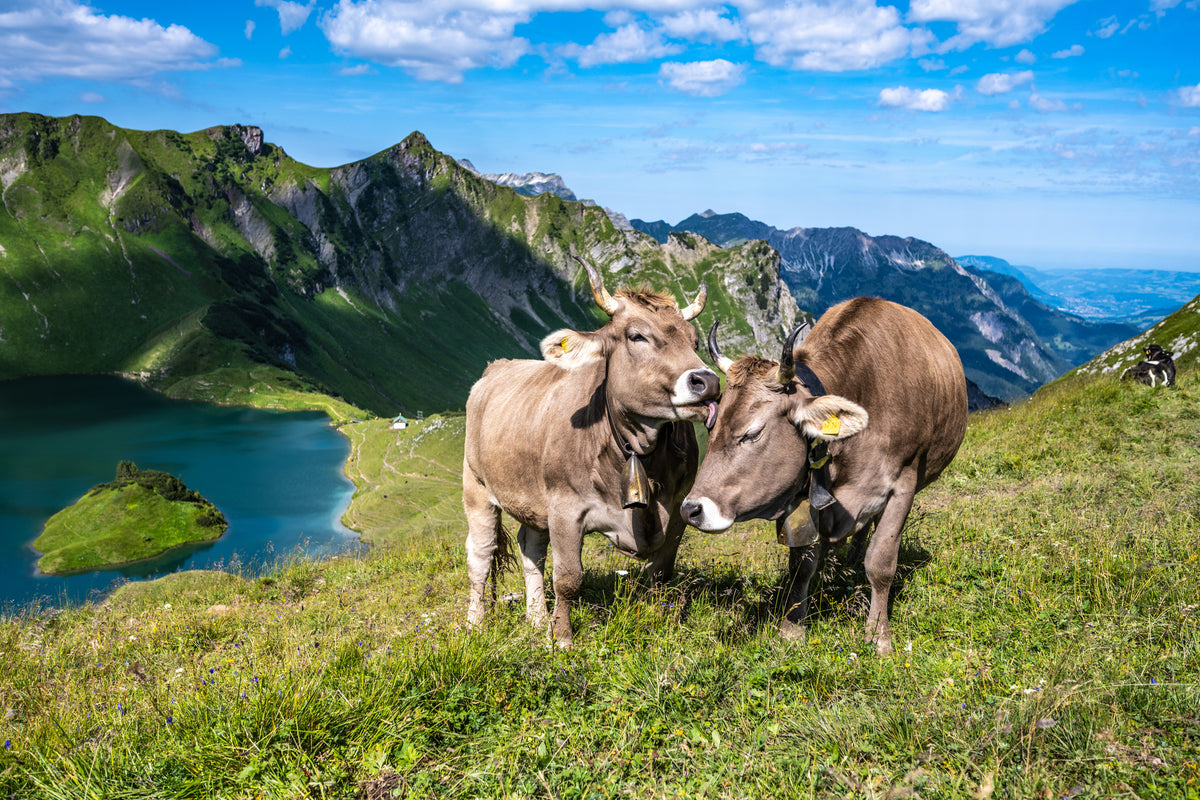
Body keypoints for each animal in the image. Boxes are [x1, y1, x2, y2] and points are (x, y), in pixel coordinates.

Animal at [463, 257, 720, 646]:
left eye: (694, 341)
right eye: (637, 336)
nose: (708, 382)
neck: (637, 451)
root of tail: (497, 367)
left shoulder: (678, 507)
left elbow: (662, 572)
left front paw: (661, 622)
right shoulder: (565, 508)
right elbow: (569, 578)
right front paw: (562, 638)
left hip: (533, 499)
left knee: (530, 549)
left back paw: (536, 619)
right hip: (476, 488)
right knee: (481, 554)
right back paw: (476, 623)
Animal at [680, 297, 968, 655]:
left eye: (753, 433)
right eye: (711, 426)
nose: (690, 509)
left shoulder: (903, 484)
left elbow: (881, 562)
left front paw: (878, 636)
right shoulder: (804, 497)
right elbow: (801, 566)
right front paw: (792, 628)